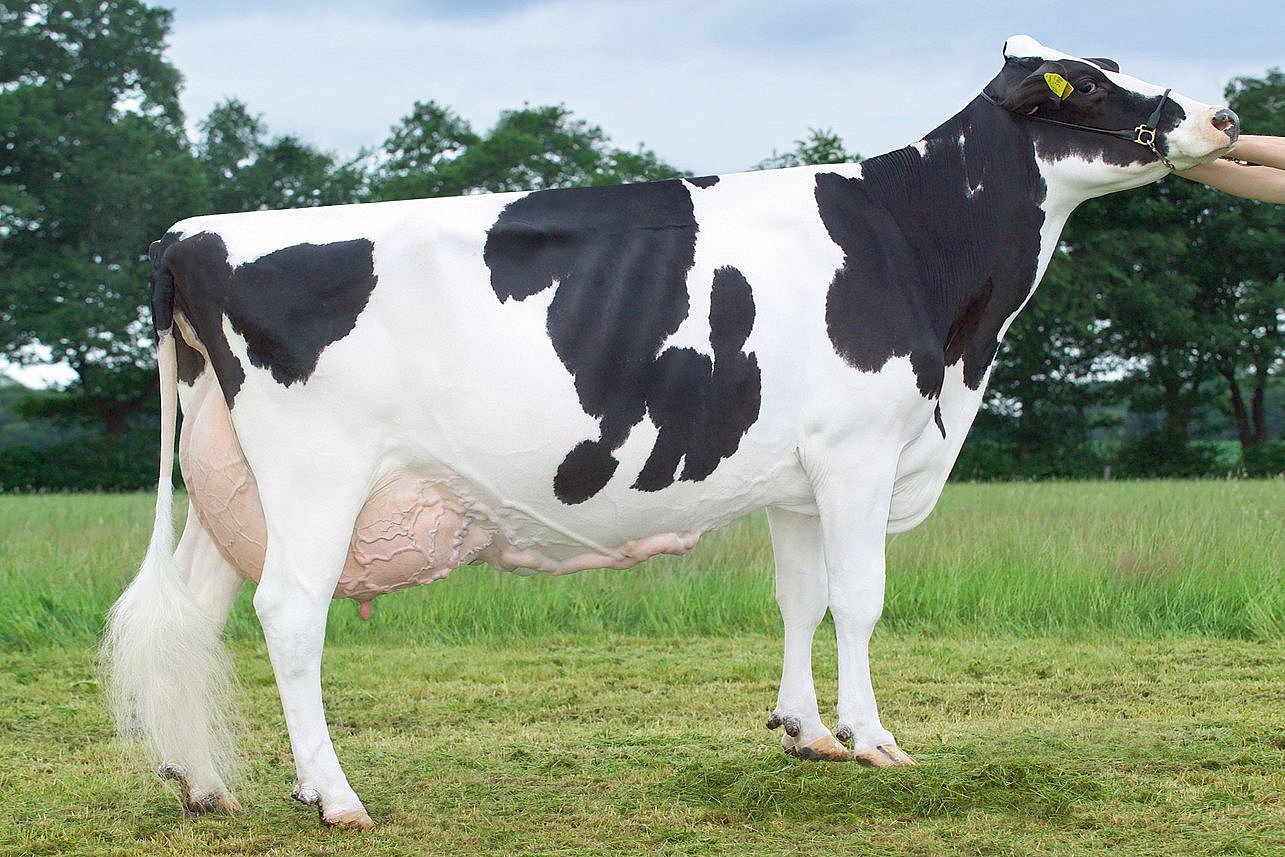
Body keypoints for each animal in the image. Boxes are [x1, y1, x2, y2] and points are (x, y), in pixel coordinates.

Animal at [105, 36, 1238, 827]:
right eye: (1082, 84)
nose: (1224, 113)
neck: (919, 253)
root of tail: (193, 233)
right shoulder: (858, 451)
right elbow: (860, 600)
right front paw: (873, 738)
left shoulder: (798, 476)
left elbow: (801, 598)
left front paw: (805, 732)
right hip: (315, 476)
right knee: (289, 614)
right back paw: (334, 795)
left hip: (228, 483)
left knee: (195, 612)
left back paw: (203, 783)